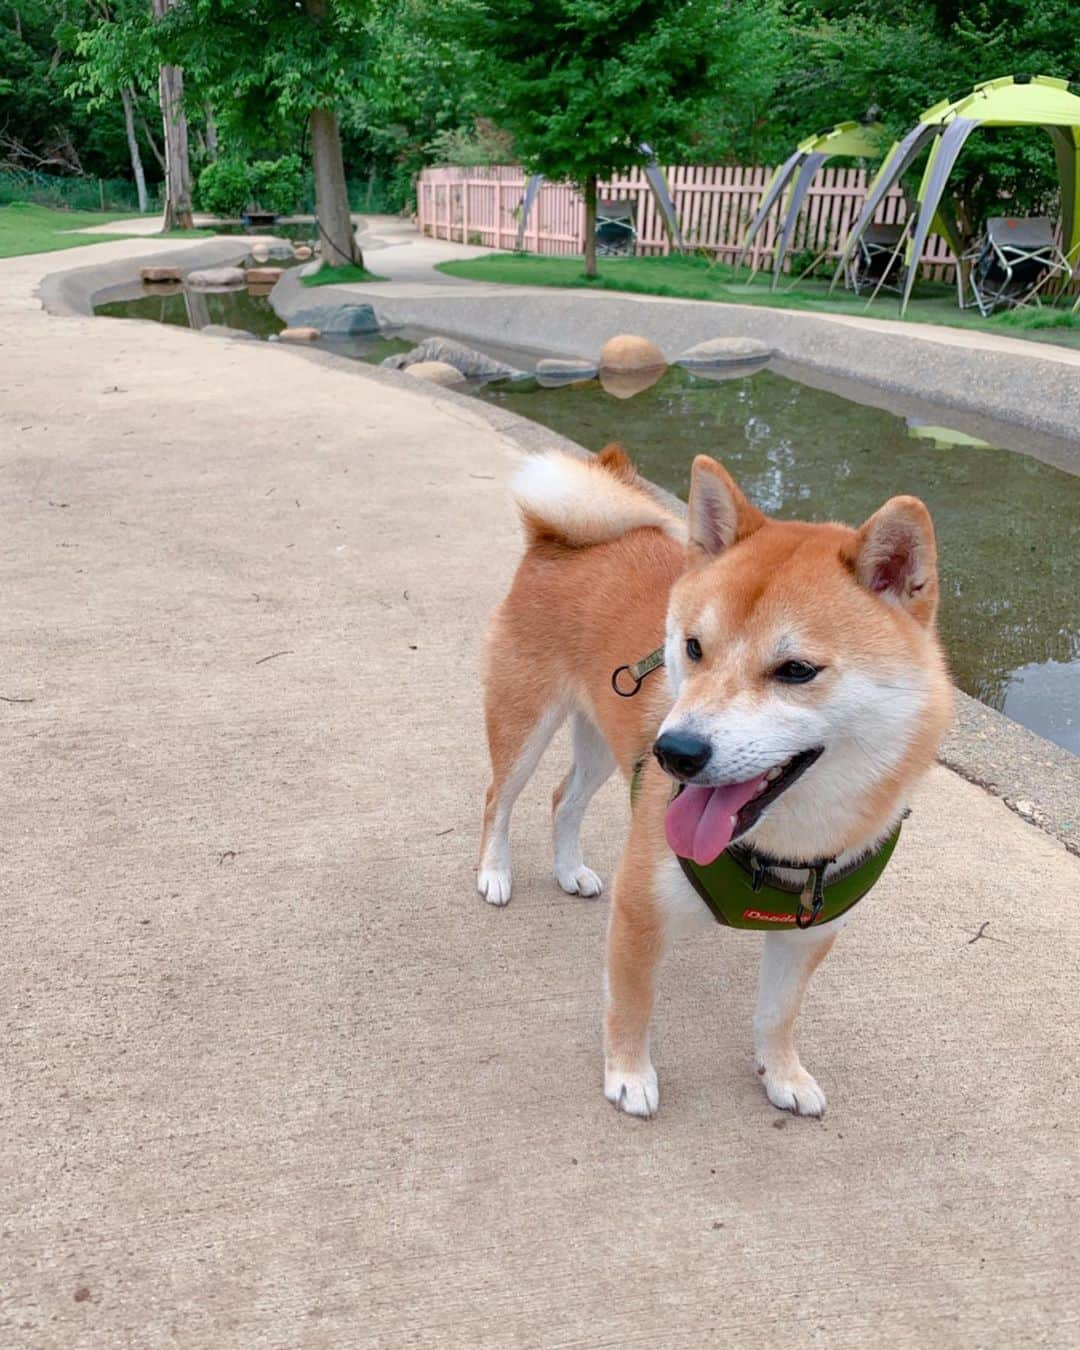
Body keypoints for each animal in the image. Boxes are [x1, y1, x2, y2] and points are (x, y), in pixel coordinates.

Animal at [477, 448, 950, 1112]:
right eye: (695, 647)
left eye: (796, 670)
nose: (674, 752)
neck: (786, 847)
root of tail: (558, 535)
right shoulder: (641, 908)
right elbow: (631, 1004)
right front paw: (629, 1075)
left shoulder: (808, 936)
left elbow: (778, 1016)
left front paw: (783, 1075)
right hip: (526, 721)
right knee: (500, 798)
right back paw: (494, 873)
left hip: (606, 741)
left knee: (562, 798)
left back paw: (569, 869)